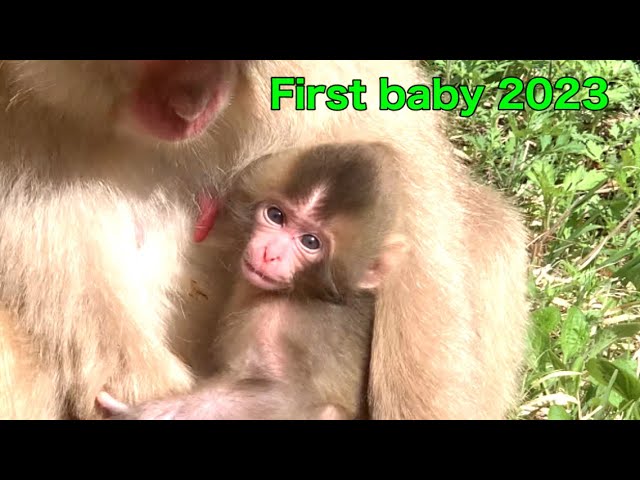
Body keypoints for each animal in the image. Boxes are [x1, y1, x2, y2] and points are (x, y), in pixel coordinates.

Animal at [96, 142, 407, 420]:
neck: (299, 291)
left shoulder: (277, 323)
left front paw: (145, 413)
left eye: (310, 242)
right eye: (276, 215)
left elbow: (282, 397)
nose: (270, 253)